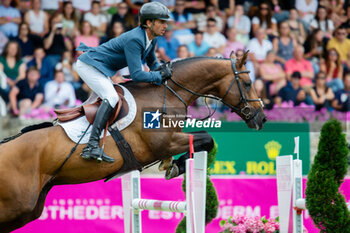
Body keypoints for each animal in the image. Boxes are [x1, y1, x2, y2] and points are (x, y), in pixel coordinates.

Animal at [0, 52, 266, 232]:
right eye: (247, 83)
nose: (261, 118)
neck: (167, 93)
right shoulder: (165, 143)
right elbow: (206, 139)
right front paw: (174, 167)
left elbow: (202, 141)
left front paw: (171, 165)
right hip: (17, 207)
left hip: (27, 209)